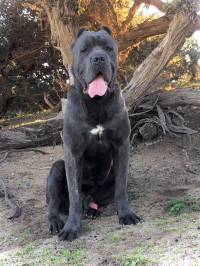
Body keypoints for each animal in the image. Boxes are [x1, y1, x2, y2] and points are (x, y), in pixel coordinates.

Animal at [46, 26, 141, 241]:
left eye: (108, 48)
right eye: (85, 50)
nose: (99, 58)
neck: (96, 102)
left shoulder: (121, 146)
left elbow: (121, 188)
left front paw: (126, 214)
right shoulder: (73, 154)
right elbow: (74, 195)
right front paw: (71, 228)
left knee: (94, 198)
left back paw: (91, 209)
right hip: (56, 169)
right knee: (55, 204)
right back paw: (56, 222)